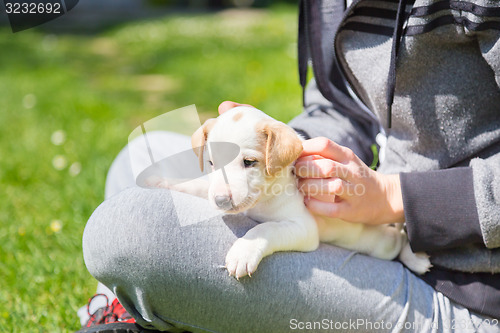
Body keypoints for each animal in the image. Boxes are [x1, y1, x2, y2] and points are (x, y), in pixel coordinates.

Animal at [151, 106, 430, 278]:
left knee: (400, 239)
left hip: (382, 244)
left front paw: (244, 251)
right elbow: (195, 185)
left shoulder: (303, 227)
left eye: (249, 162)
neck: (261, 200)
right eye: (210, 163)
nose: (220, 200)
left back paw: (415, 258)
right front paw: (162, 182)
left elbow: (265, 229)